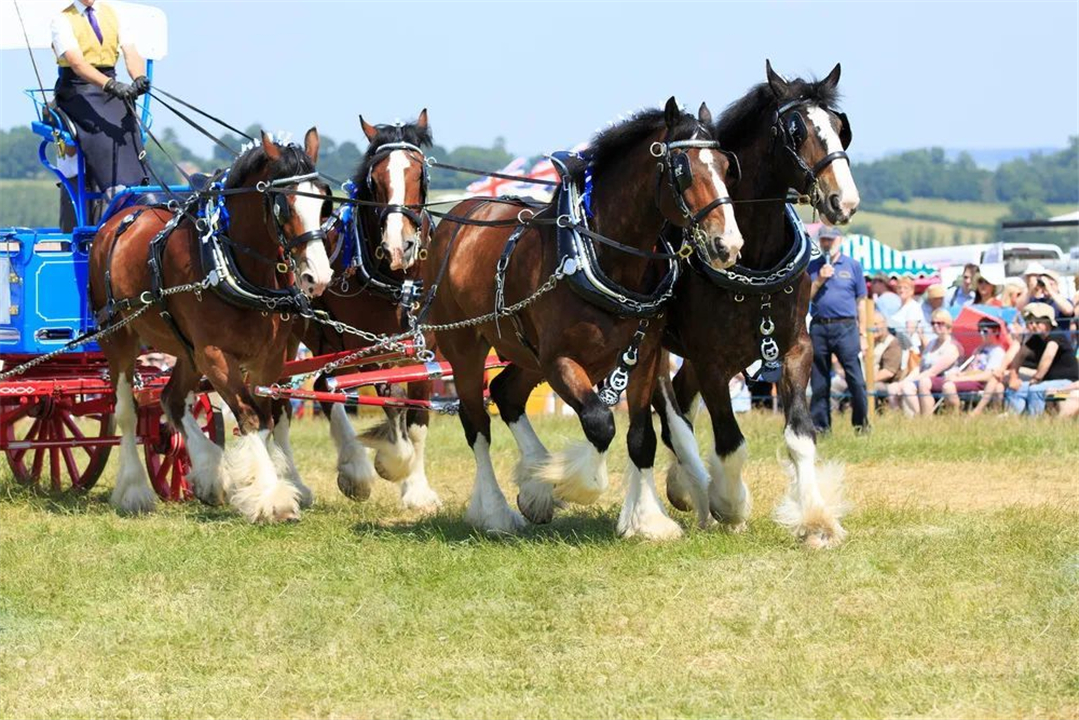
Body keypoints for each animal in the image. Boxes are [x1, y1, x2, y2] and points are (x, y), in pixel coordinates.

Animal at [89, 130, 334, 523]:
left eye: (324, 203)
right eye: (282, 205)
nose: (319, 276)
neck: (231, 263)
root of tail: (116, 220)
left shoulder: (268, 359)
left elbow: (265, 419)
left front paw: (258, 484)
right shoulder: (214, 354)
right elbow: (249, 416)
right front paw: (271, 497)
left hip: (186, 351)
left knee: (171, 400)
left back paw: (207, 474)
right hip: (120, 338)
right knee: (127, 411)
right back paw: (134, 491)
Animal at [296, 111, 442, 513]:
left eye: (420, 175)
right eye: (374, 182)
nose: (397, 246)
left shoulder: (425, 347)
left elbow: (417, 416)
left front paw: (417, 490)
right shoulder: (369, 349)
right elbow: (390, 402)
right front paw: (390, 463)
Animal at [423, 97, 743, 535]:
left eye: (727, 167)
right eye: (683, 170)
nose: (728, 244)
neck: (603, 255)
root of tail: (456, 217)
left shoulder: (644, 356)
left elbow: (640, 437)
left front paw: (645, 521)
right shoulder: (560, 360)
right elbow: (599, 421)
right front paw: (572, 484)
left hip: (527, 355)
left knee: (505, 392)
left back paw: (534, 485)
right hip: (465, 350)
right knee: (477, 424)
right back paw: (496, 510)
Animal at [654, 61, 861, 548]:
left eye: (840, 128)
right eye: (795, 129)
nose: (844, 200)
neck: (756, 257)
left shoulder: (796, 348)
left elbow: (800, 436)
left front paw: (816, 520)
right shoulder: (712, 360)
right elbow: (730, 441)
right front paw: (730, 505)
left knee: (682, 403)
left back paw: (683, 487)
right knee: (671, 412)